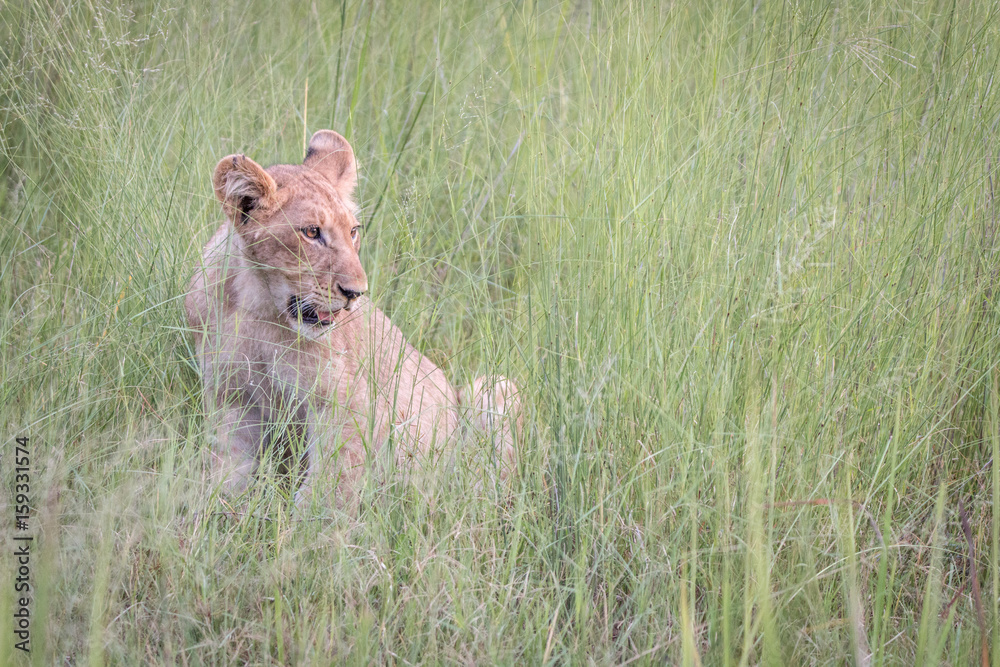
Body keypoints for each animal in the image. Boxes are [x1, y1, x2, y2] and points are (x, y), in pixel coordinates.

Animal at [185, 130, 519, 506]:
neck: (260, 309)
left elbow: (328, 491)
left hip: (495, 388)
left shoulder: (346, 406)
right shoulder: (231, 397)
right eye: (311, 232)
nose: (356, 293)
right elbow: (228, 473)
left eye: (354, 231)